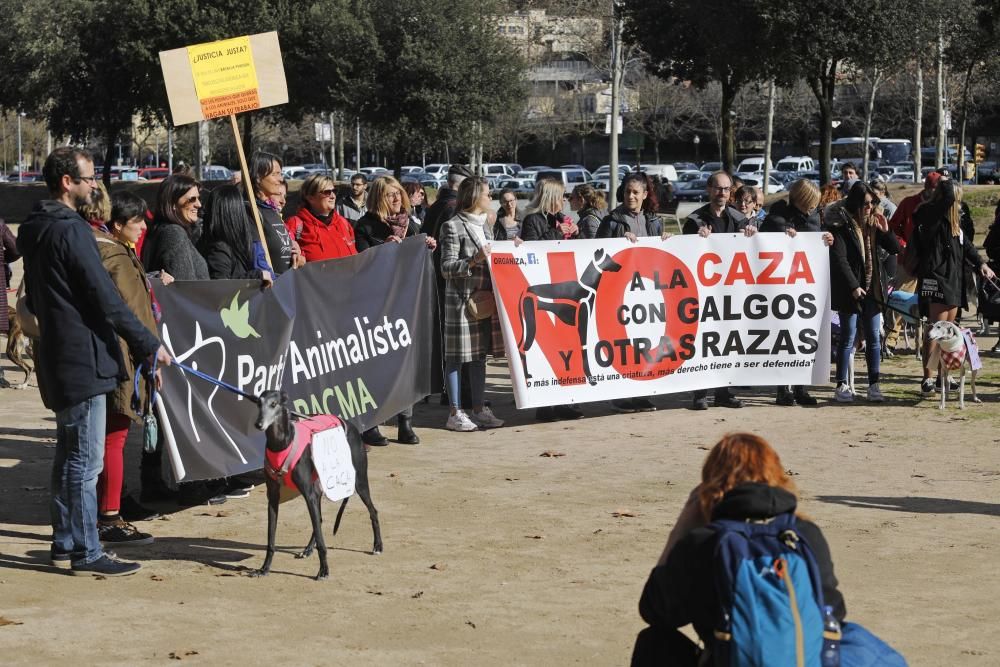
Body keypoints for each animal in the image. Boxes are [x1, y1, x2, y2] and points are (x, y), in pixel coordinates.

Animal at [254, 392, 382, 580]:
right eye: (258, 403)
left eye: (274, 404)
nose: (259, 424)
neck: (282, 444)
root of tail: (351, 425)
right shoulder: (273, 497)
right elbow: (271, 540)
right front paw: (264, 568)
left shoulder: (308, 494)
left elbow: (322, 542)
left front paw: (323, 570)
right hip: (318, 487)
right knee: (319, 520)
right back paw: (307, 549)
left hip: (359, 482)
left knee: (373, 511)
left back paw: (378, 546)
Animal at [520, 249, 620, 386]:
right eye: (608, 258)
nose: (620, 266)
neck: (586, 287)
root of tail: (525, 290)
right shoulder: (582, 323)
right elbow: (584, 349)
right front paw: (590, 378)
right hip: (531, 325)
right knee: (523, 349)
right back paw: (526, 377)